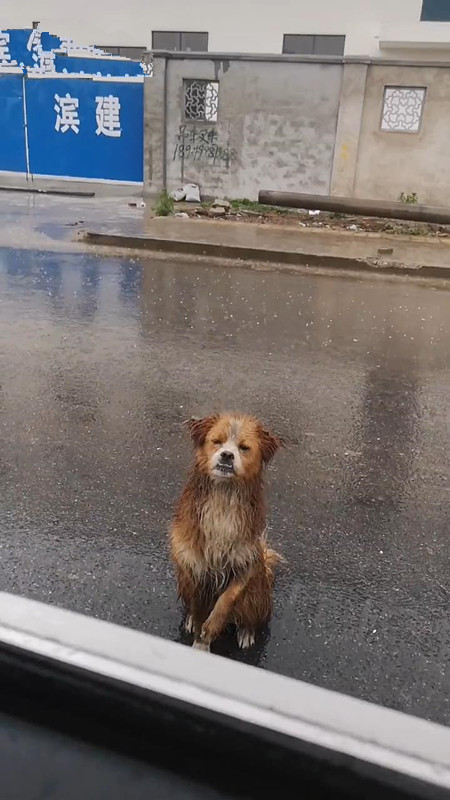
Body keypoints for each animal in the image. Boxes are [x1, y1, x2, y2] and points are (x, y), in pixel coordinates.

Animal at [171, 412, 284, 648]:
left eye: (244, 448)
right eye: (217, 441)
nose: (227, 455)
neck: (224, 494)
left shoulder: (246, 562)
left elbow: (226, 600)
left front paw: (211, 628)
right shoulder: (194, 566)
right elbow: (198, 610)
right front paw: (199, 637)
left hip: (257, 593)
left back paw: (246, 632)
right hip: (183, 580)